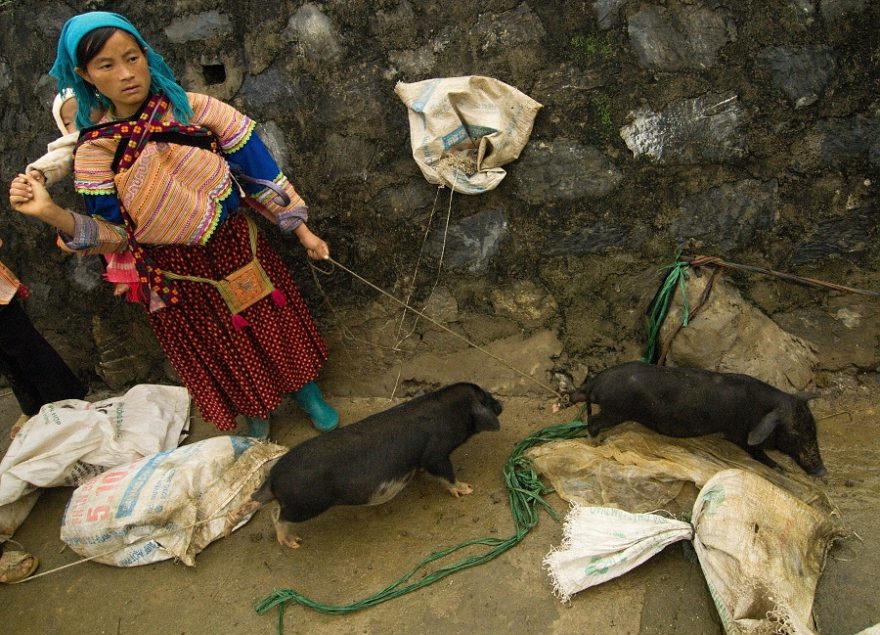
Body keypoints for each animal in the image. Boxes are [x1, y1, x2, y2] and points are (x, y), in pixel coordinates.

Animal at [225, 380, 502, 548]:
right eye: (486, 399)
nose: (501, 403)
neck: (449, 413)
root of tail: (274, 478)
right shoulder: (435, 453)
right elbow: (446, 474)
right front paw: (467, 489)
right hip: (306, 504)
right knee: (277, 515)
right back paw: (293, 542)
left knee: (256, 500)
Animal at [568, 362, 828, 476]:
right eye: (794, 434)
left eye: (813, 428)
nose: (823, 472)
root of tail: (595, 383)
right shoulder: (739, 435)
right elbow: (757, 452)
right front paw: (782, 470)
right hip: (616, 410)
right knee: (593, 422)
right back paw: (595, 443)